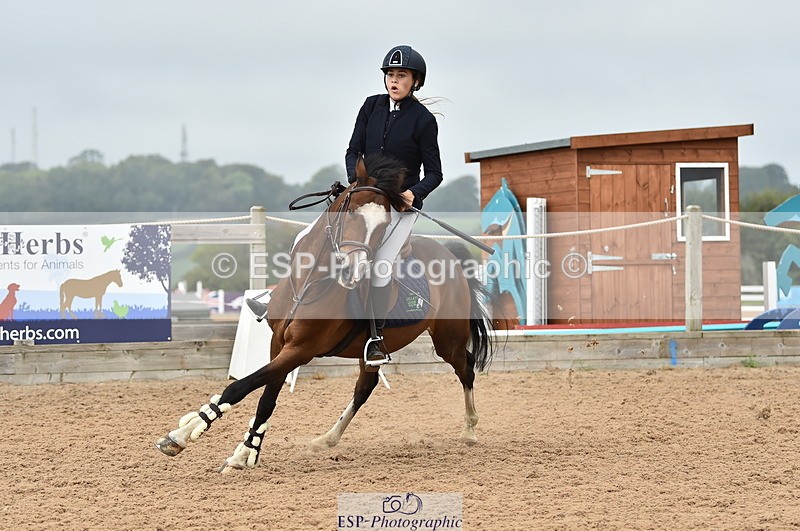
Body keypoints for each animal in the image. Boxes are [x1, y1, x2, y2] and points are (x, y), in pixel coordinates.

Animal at [155, 153, 496, 473]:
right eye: (350, 211)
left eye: (384, 226)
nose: (352, 272)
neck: (309, 282)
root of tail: (449, 255)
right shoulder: (279, 344)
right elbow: (265, 397)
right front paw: (244, 452)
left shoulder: (301, 350)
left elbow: (241, 386)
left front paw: (186, 434)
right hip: (373, 351)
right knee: (365, 387)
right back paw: (327, 439)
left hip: (448, 340)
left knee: (465, 367)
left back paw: (470, 430)